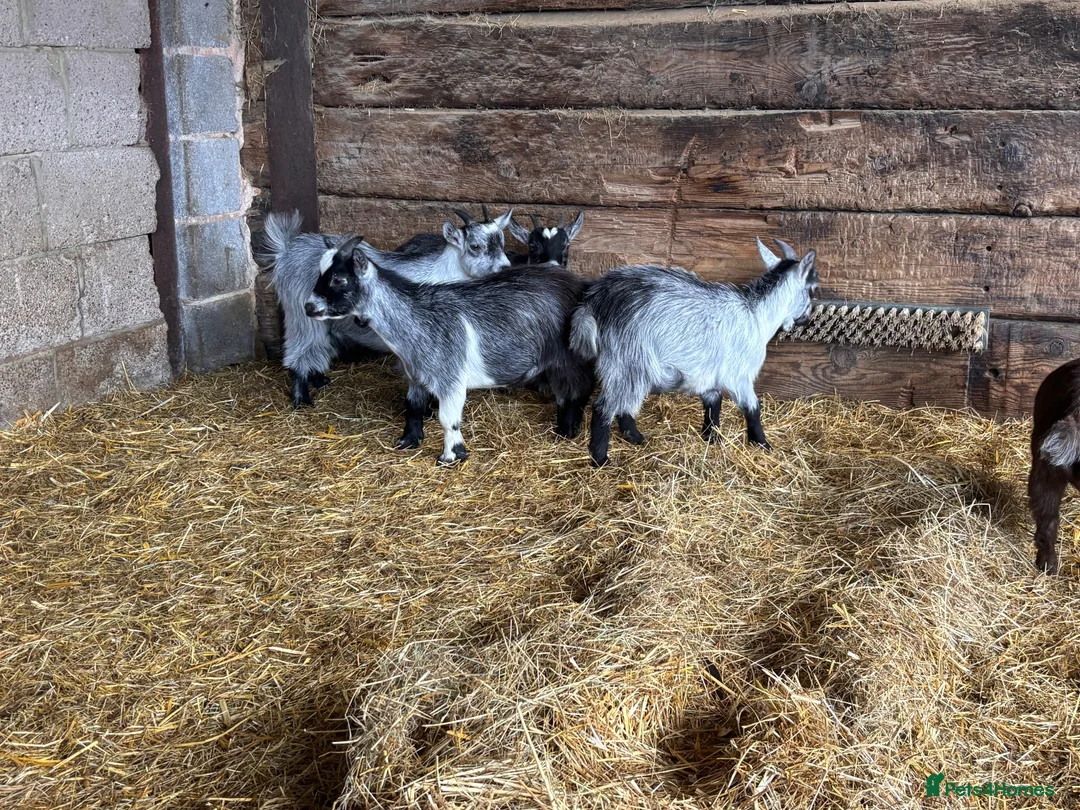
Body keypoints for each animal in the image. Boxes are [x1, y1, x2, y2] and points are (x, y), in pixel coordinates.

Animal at [261, 207, 513, 408]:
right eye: (475, 246)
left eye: (502, 241)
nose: (505, 267)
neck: (443, 272)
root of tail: (287, 251)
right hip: (302, 314)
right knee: (299, 350)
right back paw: (301, 398)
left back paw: (318, 381)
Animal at [304, 237, 594, 465]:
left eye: (339, 279)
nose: (308, 307)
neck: (416, 318)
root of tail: (580, 287)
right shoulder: (416, 375)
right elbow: (413, 406)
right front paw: (408, 440)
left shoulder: (450, 378)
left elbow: (448, 419)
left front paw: (451, 456)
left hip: (569, 357)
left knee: (577, 390)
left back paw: (567, 429)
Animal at [570, 238, 818, 467]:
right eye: (813, 289)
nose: (807, 317)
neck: (757, 315)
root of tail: (595, 301)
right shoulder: (739, 375)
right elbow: (752, 408)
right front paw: (762, 444)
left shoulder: (708, 372)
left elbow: (713, 403)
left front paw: (712, 437)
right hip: (628, 359)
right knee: (604, 407)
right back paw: (600, 459)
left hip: (629, 365)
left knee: (624, 404)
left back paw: (635, 437)